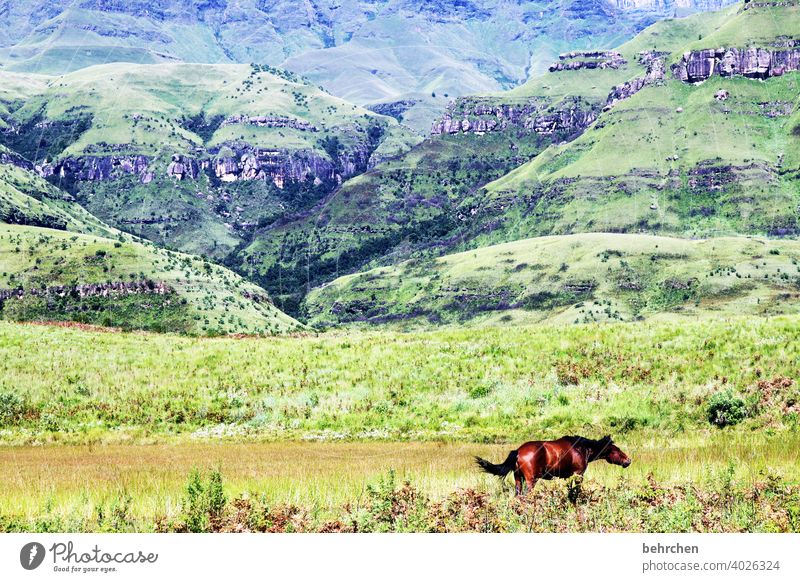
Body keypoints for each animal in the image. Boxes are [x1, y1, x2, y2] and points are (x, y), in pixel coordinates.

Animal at [476, 436, 632, 496]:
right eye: (617, 450)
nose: (628, 460)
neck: (581, 449)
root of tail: (518, 451)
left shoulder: (568, 477)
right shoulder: (578, 474)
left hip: (518, 479)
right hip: (531, 480)